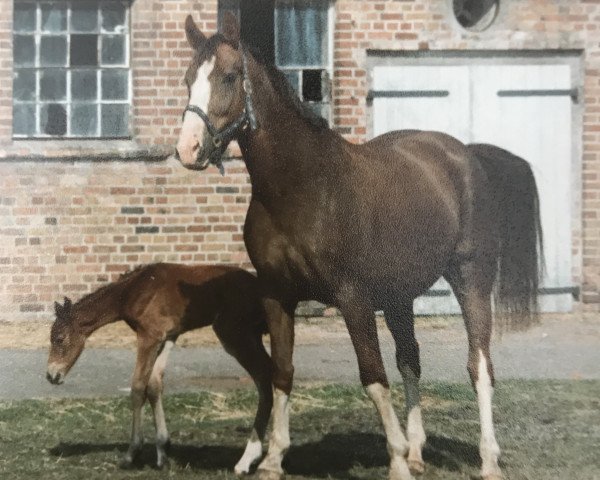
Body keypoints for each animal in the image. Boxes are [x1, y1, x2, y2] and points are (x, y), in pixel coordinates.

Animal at [47, 264, 272, 474]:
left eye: (59, 338)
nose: (51, 375)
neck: (132, 290)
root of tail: (259, 288)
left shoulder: (149, 336)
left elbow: (138, 387)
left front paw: (132, 453)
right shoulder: (168, 336)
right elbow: (155, 384)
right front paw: (163, 451)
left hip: (235, 335)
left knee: (265, 377)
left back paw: (249, 458)